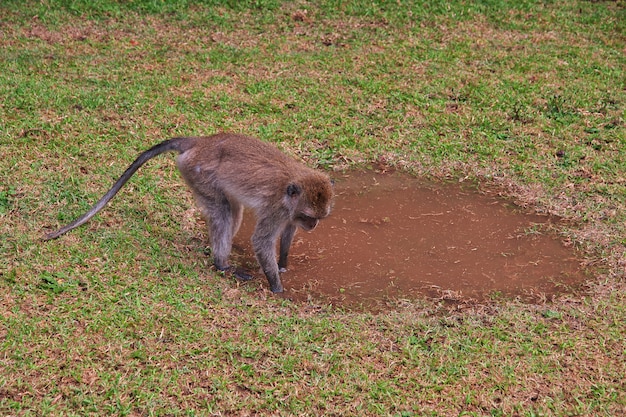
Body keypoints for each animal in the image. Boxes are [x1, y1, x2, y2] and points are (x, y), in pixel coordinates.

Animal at [44, 133, 334, 292]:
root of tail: (202, 142)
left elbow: (288, 233)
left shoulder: (288, 214)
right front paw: (277, 287)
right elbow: (261, 241)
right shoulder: (275, 209)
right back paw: (222, 265)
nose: (313, 227)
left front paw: (283, 264)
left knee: (232, 211)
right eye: (311, 217)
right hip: (197, 172)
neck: (290, 188)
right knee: (224, 213)